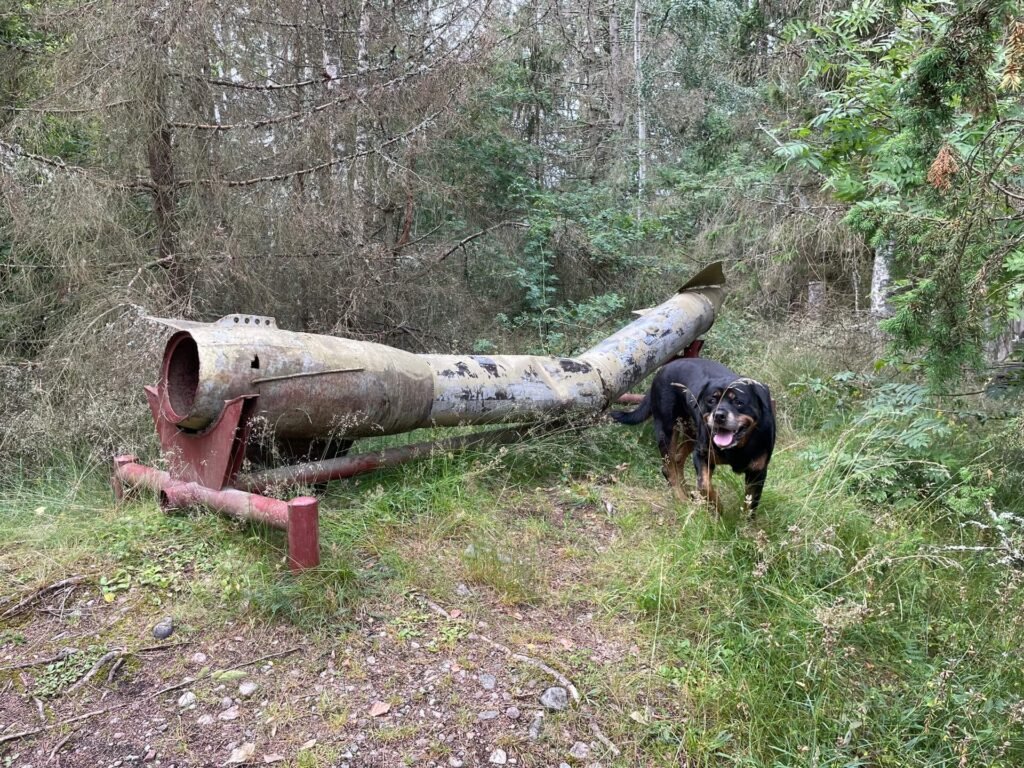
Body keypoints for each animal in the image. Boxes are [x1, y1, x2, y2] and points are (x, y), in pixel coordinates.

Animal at [606, 360, 774, 518]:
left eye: (739, 402)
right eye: (711, 401)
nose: (718, 415)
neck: (737, 448)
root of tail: (663, 369)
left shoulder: (757, 472)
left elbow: (750, 504)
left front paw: (745, 526)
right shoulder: (702, 455)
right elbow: (704, 485)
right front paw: (717, 509)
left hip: (691, 432)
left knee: (678, 458)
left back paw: (687, 491)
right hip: (667, 429)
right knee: (669, 468)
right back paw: (682, 498)